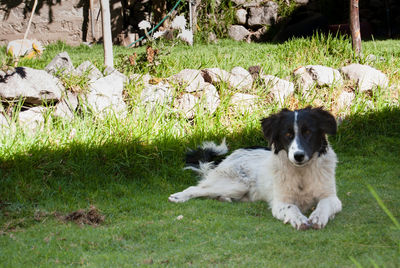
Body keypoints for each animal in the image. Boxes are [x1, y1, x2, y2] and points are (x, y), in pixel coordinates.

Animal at [168, 107, 340, 230]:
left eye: (308, 132)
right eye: (287, 134)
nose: (298, 156)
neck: (302, 173)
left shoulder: (333, 198)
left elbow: (324, 204)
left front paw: (318, 217)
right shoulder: (280, 202)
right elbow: (292, 208)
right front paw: (299, 219)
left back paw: (224, 199)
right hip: (236, 184)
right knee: (196, 188)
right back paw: (179, 197)